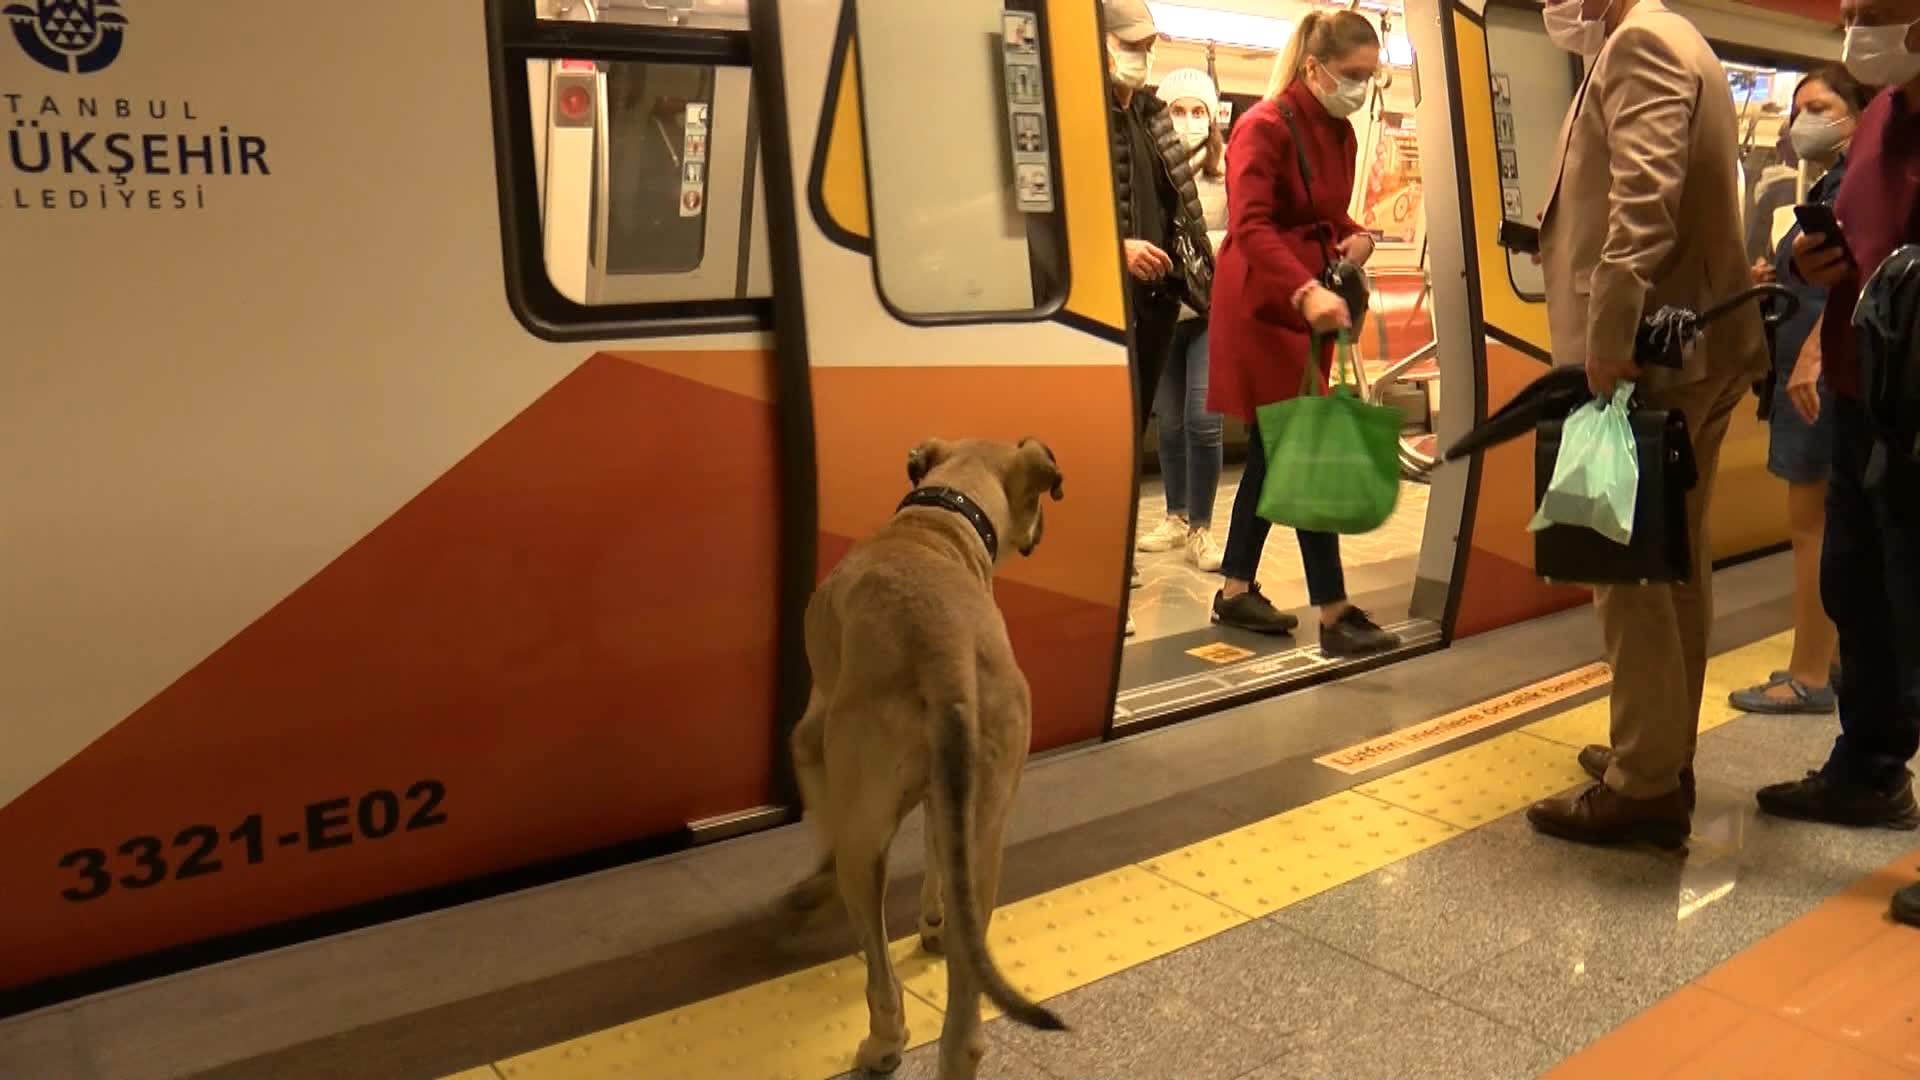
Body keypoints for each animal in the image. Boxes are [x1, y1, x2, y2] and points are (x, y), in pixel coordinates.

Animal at [787, 432, 1075, 1068]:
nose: (1043, 532)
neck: (939, 520)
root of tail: (946, 652)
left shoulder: (811, 740)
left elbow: (822, 823)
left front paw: (811, 886)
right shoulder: (948, 800)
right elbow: (936, 852)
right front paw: (934, 921)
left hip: (866, 837)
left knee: (879, 969)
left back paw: (883, 1042)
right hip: (986, 829)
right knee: (964, 1028)